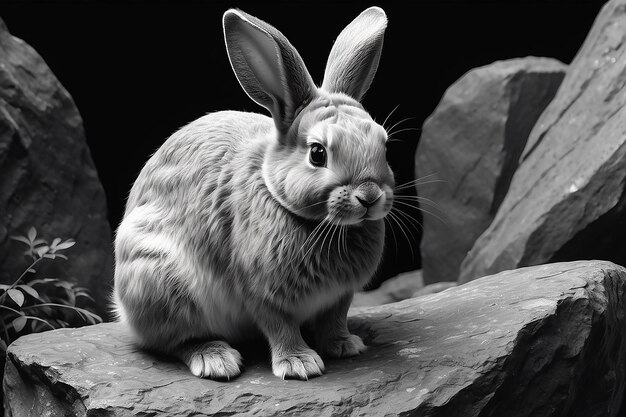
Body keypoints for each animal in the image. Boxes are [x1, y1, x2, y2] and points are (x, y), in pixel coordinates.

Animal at [113, 4, 390, 380]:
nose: (370, 196)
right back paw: (216, 359)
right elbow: (280, 326)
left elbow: (334, 319)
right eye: (318, 153)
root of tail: (122, 309)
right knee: (172, 342)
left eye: (384, 143)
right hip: (161, 284)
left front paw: (345, 346)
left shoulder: (339, 297)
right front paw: (300, 364)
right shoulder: (263, 293)